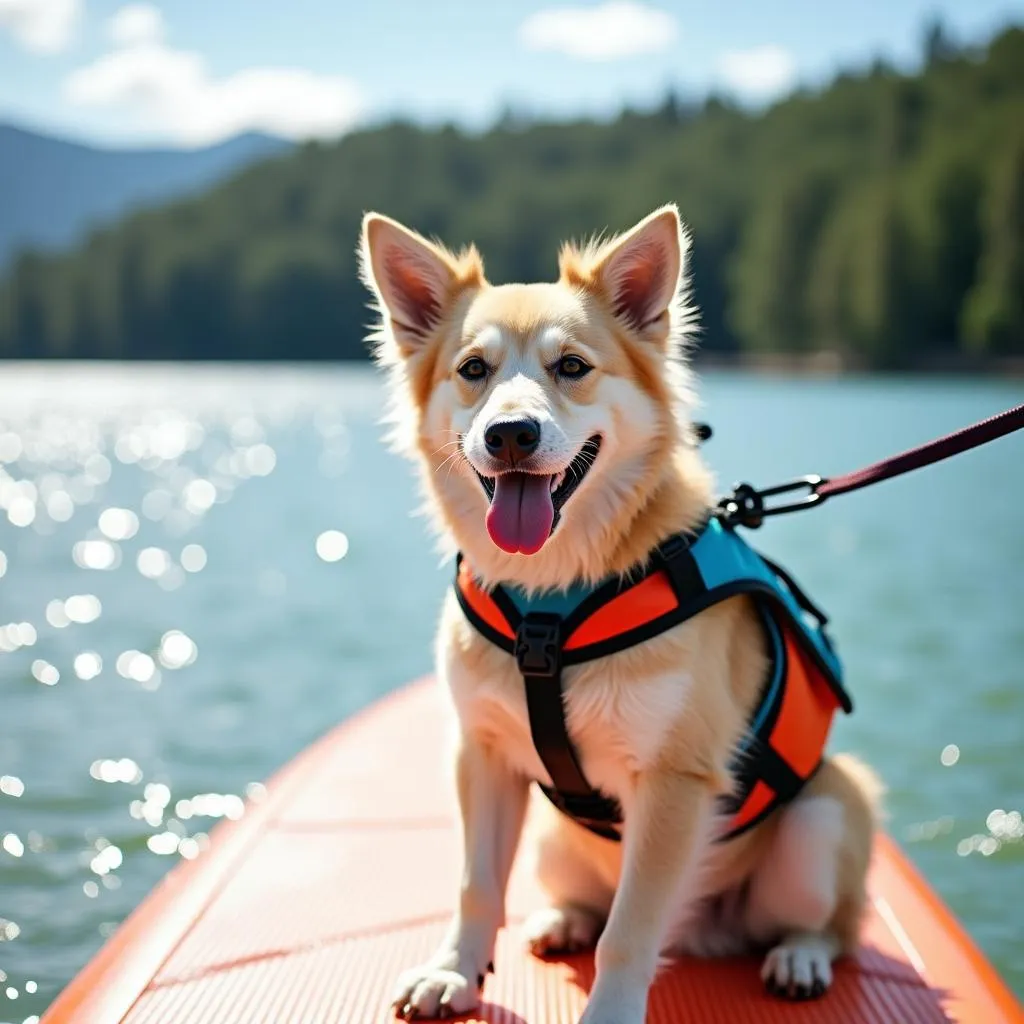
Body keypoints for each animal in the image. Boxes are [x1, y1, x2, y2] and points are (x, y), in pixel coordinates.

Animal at [360, 207, 880, 1024]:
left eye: (572, 366)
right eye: (472, 370)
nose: (511, 434)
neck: (553, 598)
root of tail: (707, 935)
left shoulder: (674, 779)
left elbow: (632, 930)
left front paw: (608, 1009)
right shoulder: (482, 752)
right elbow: (476, 886)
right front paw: (454, 971)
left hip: (823, 819)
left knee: (831, 925)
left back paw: (800, 954)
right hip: (552, 841)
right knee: (586, 902)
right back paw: (563, 919)